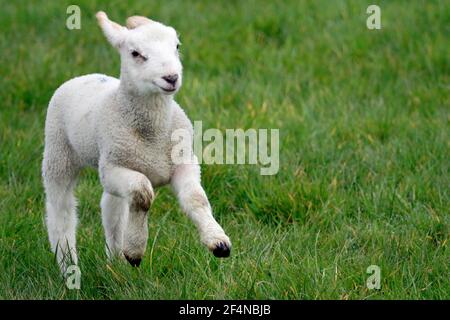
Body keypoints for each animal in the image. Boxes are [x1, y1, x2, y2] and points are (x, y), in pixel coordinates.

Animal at [42, 11, 232, 274]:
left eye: (177, 46)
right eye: (135, 53)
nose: (171, 77)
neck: (153, 133)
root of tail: (84, 77)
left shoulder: (184, 163)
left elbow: (196, 198)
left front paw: (218, 241)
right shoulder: (112, 169)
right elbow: (143, 194)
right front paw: (134, 250)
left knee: (111, 208)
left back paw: (115, 258)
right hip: (59, 150)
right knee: (61, 211)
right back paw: (68, 264)